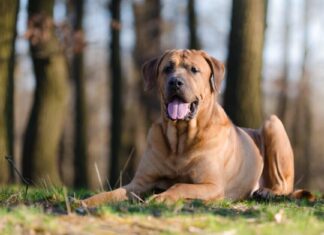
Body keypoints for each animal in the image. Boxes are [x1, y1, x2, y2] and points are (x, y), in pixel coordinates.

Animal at [82, 49, 294, 206]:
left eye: (194, 69)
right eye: (167, 68)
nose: (175, 81)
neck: (180, 139)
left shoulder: (212, 184)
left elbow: (181, 186)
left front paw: (162, 197)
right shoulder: (140, 182)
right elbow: (114, 192)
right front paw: (87, 201)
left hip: (272, 123)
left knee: (285, 185)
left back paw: (266, 192)